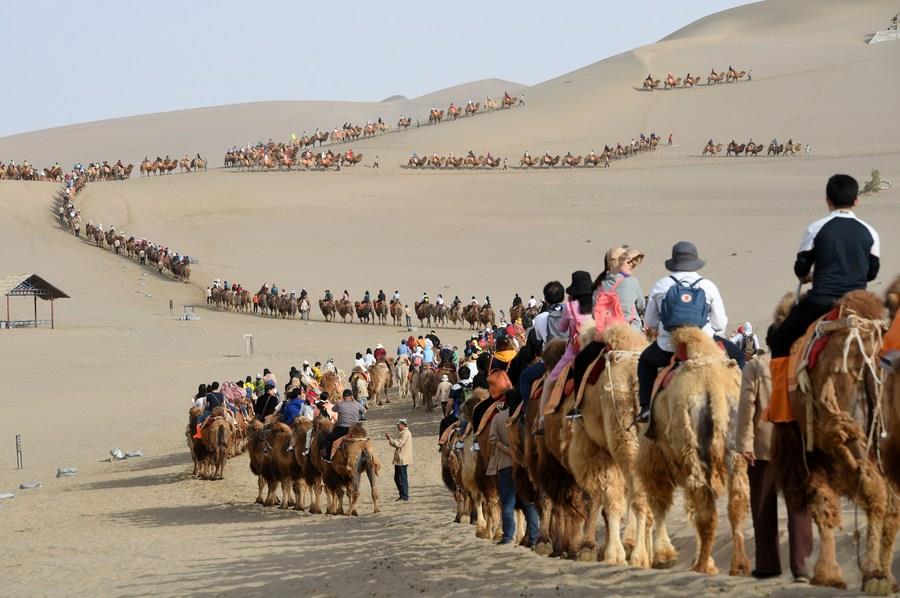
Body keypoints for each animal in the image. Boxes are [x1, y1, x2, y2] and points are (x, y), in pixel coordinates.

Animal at [632, 326, 752, 580]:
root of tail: (712, 390)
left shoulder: (653, 459)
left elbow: (660, 501)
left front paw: (664, 556)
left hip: (689, 446)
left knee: (703, 506)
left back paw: (702, 565)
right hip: (733, 447)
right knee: (735, 501)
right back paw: (738, 565)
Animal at [768, 292, 896, 596]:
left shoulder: (808, 455)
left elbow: (821, 505)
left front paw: (827, 575)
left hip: (846, 432)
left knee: (876, 493)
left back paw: (873, 573)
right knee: (888, 498)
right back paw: (883, 575)